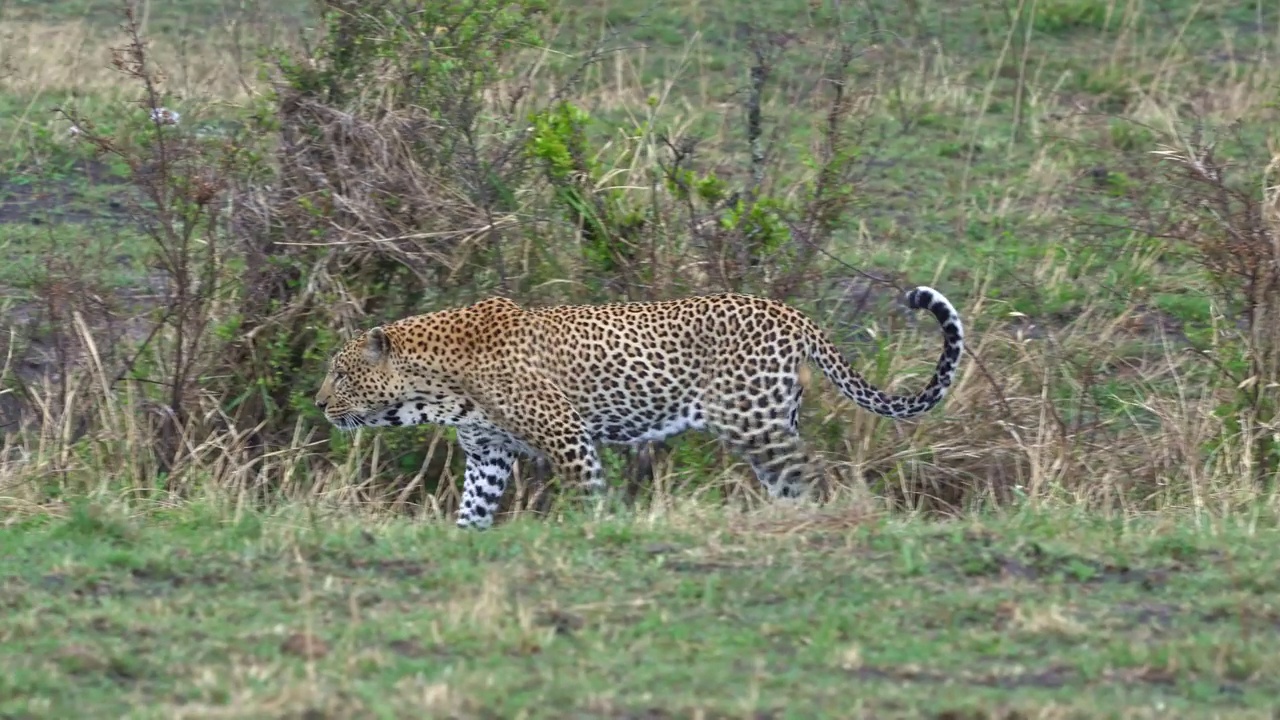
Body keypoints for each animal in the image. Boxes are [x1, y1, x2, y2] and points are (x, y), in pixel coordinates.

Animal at [314, 285, 962, 527]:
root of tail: (789, 311)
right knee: (791, 479)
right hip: (772, 420)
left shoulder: (567, 435)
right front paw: (465, 543)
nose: (319, 404)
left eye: (341, 374)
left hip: (751, 421)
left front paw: (595, 532)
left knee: (810, 474)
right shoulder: (488, 455)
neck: (437, 386)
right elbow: (472, 510)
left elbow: (589, 494)